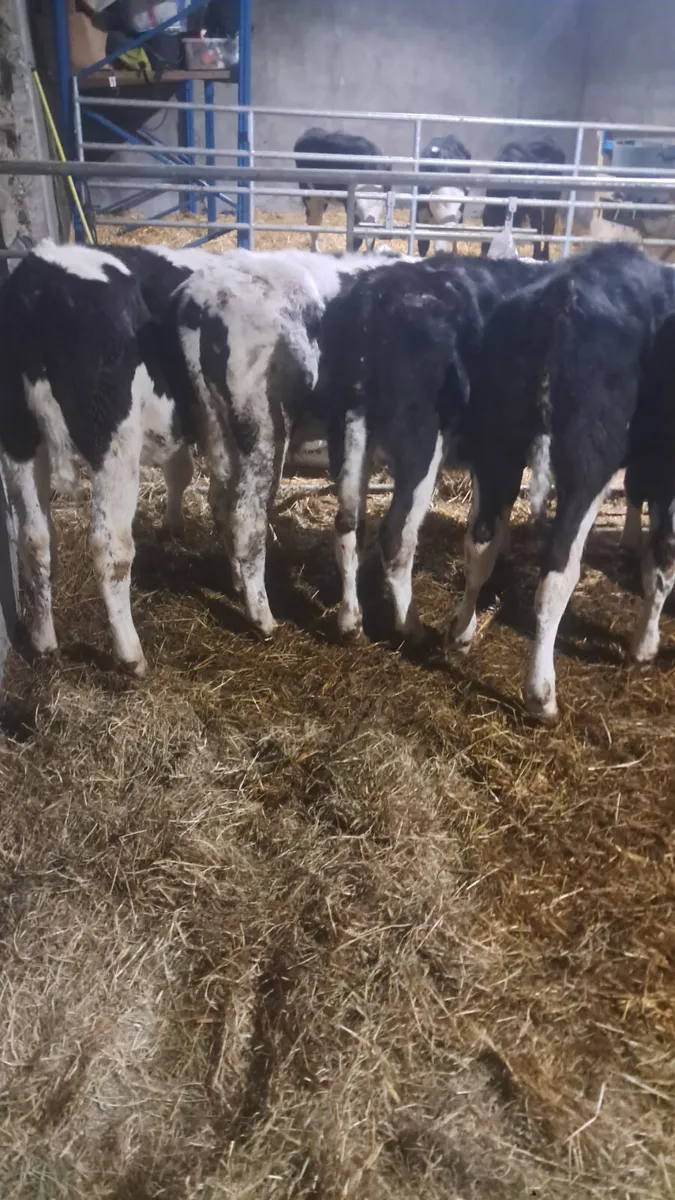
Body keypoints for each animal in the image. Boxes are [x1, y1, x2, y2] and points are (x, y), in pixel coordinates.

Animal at [450, 242, 675, 723]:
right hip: (587, 465)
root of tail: (559, 300)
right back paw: (541, 694)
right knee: (558, 571)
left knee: (480, 543)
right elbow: (663, 558)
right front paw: (645, 646)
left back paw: (460, 632)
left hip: (498, 443)